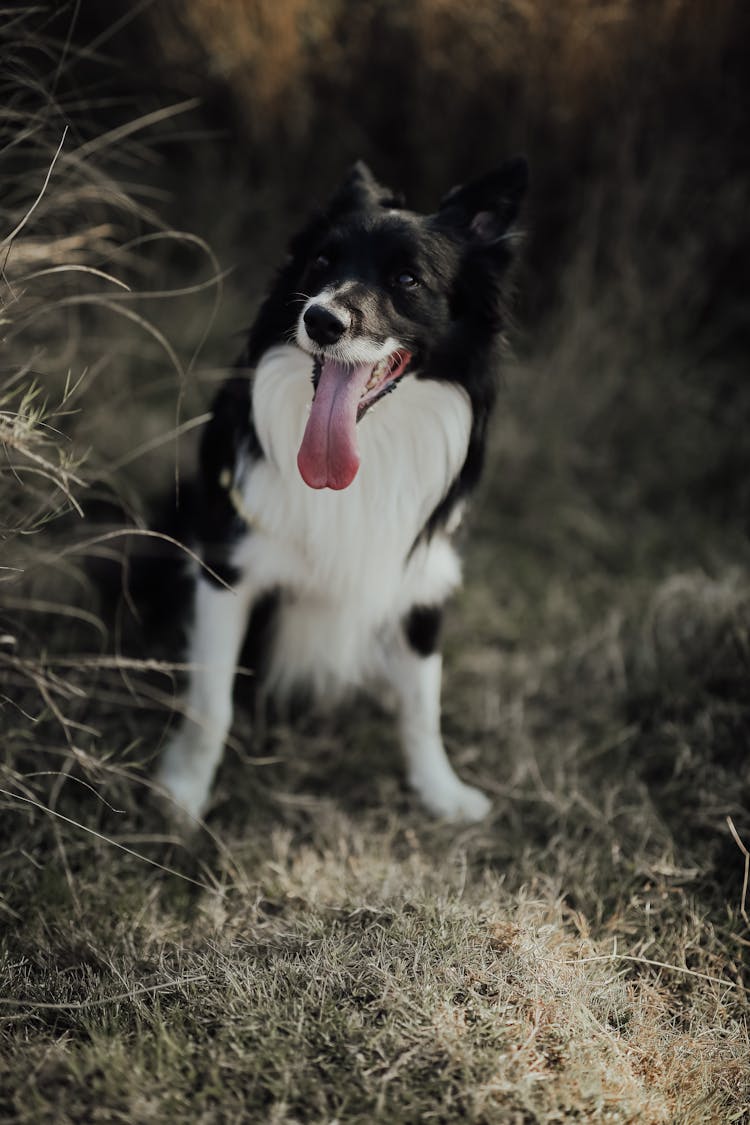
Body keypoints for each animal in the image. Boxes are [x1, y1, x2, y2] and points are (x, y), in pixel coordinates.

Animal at [155, 158, 526, 823]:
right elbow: (211, 703)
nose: (322, 319)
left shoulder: (421, 581)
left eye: (407, 279)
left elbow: (424, 707)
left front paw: (442, 793)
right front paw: (183, 793)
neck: (370, 447)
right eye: (322, 263)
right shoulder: (226, 568)